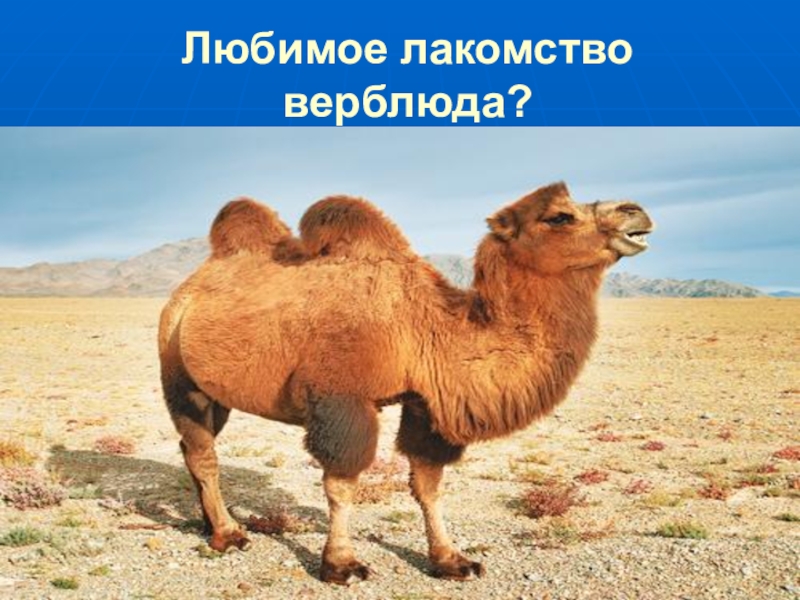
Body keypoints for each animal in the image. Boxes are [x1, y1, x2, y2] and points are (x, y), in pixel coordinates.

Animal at [158, 182, 654, 584]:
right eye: (559, 216)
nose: (636, 212)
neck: (427, 324)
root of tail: (189, 287)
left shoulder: (425, 402)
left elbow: (428, 482)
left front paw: (452, 559)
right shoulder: (342, 399)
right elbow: (342, 483)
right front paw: (341, 565)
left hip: (216, 391)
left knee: (193, 447)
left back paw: (208, 522)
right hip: (178, 373)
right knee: (203, 453)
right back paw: (228, 534)